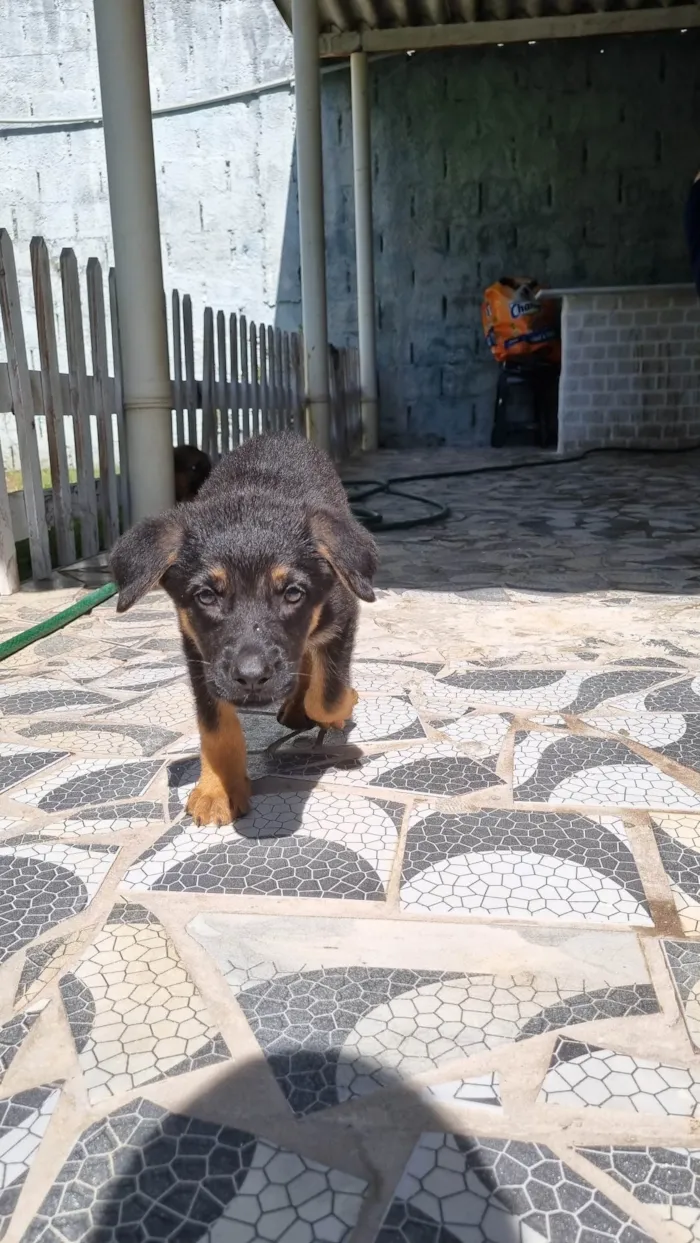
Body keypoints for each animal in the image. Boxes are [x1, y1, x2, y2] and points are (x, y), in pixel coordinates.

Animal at [109, 432, 377, 830]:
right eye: (206, 596)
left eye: (293, 594)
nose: (252, 679)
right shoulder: (199, 653)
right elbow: (216, 727)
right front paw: (219, 787)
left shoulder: (342, 618)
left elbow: (327, 695)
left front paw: (338, 706)